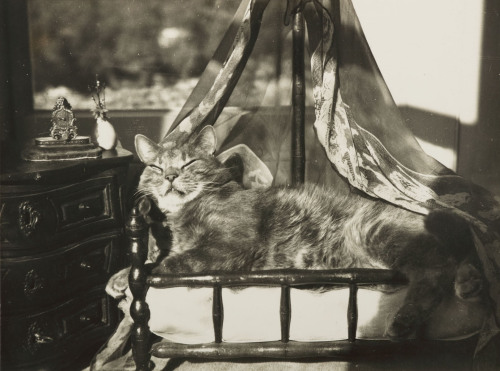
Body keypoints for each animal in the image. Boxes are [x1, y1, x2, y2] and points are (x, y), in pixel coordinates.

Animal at [131, 125, 482, 340]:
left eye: (189, 163)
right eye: (156, 167)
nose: (170, 175)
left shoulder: (232, 243)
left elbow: (178, 261)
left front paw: (148, 271)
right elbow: (171, 254)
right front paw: (129, 272)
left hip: (373, 230)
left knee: (436, 269)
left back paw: (404, 321)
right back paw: (469, 285)